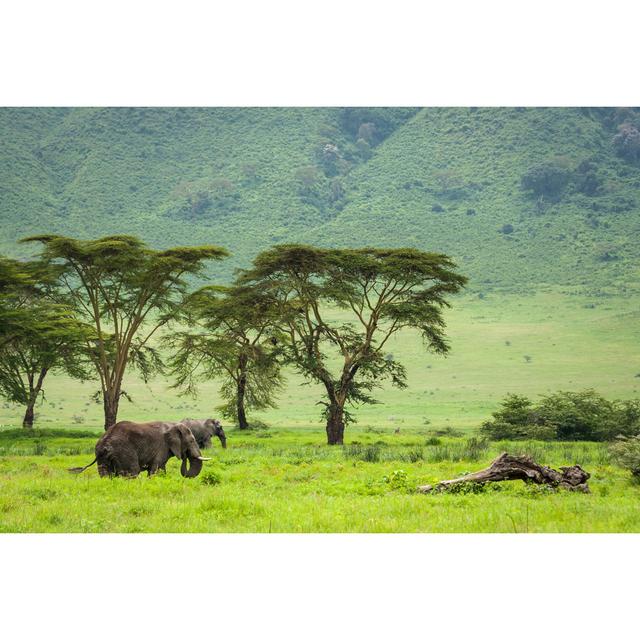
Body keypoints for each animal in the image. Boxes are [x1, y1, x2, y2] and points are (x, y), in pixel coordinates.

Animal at [69, 422, 211, 478]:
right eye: (191, 441)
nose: (185, 456)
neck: (172, 425)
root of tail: (105, 441)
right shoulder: (162, 447)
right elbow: (157, 469)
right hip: (124, 452)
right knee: (133, 472)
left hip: (102, 455)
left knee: (106, 474)